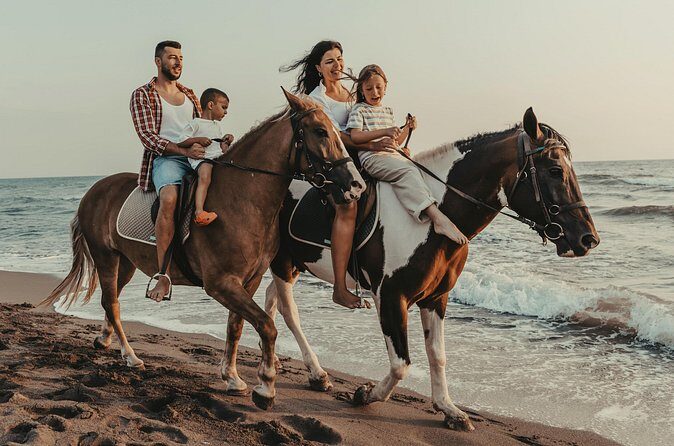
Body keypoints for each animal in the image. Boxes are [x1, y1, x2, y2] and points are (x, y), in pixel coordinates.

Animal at [42, 90, 366, 410]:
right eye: (320, 131)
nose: (356, 185)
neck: (242, 199)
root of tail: (93, 191)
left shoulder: (249, 280)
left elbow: (236, 326)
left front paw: (232, 378)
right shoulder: (220, 283)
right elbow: (266, 324)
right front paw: (266, 387)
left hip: (126, 263)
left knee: (111, 301)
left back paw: (106, 340)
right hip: (106, 258)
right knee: (112, 302)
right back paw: (131, 357)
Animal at [222, 107, 600, 429]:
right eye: (555, 170)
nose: (588, 238)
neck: (436, 217)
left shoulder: (436, 298)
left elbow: (438, 355)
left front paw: (449, 409)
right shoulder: (391, 296)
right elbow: (401, 364)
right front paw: (366, 394)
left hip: (295, 262)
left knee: (269, 302)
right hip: (282, 261)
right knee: (287, 311)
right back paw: (303, 372)